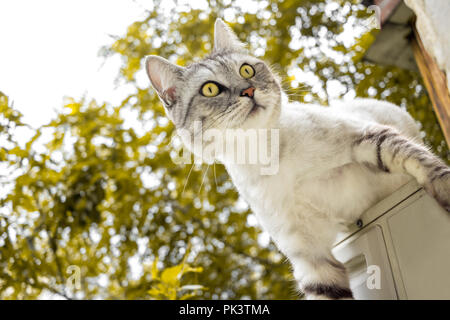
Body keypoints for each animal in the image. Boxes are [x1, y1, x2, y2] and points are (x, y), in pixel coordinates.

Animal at [144, 18, 450, 300]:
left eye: (247, 70)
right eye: (210, 89)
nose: (248, 90)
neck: (272, 158)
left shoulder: (363, 136)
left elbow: (418, 160)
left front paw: (444, 188)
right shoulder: (311, 259)